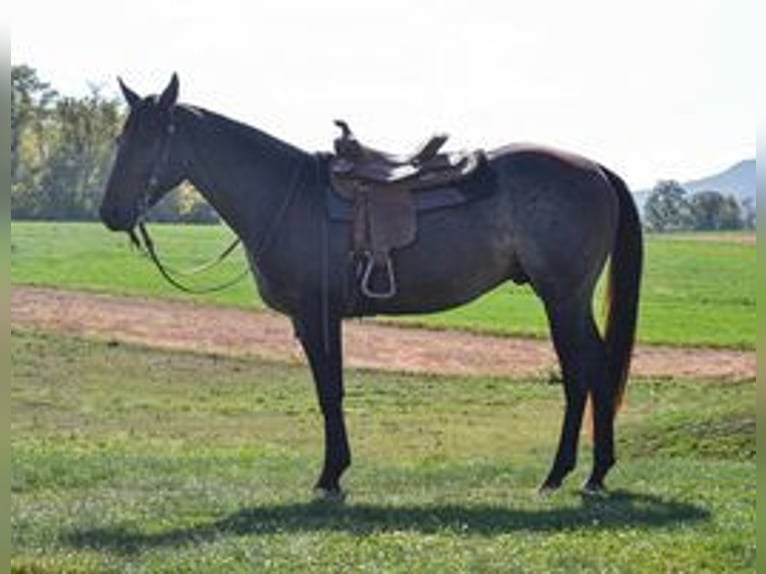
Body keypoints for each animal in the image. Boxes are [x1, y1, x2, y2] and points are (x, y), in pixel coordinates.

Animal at [100, 75, 640, 500]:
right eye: (122, 137)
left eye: (152, 140)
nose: (111, 213)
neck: (284, 195)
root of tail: (595, 169)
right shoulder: (315, 318)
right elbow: (330, 389)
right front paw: (335, 472)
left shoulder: (316, 314)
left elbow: (329, 390)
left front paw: (329, 476)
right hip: (566, 299)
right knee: (589, 370)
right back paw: (584, 472)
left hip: (563, 297)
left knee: (584, 371)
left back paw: (573, 473)